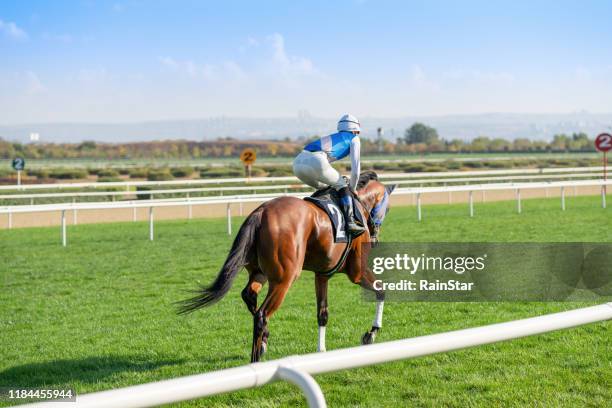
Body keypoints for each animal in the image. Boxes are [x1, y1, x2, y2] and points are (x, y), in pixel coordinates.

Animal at [179, 171, 394, 362]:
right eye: (388, 208)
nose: (375, 237)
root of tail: (261, 212)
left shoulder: (322, 275)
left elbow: (322, 314)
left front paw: (321, 350)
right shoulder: (356, 272)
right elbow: (381, 291)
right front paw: (371, 334)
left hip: (260, 272)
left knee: (249, 296)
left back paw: (263, 342)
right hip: (285, 278)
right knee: (262, 315)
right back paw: (256, 359)